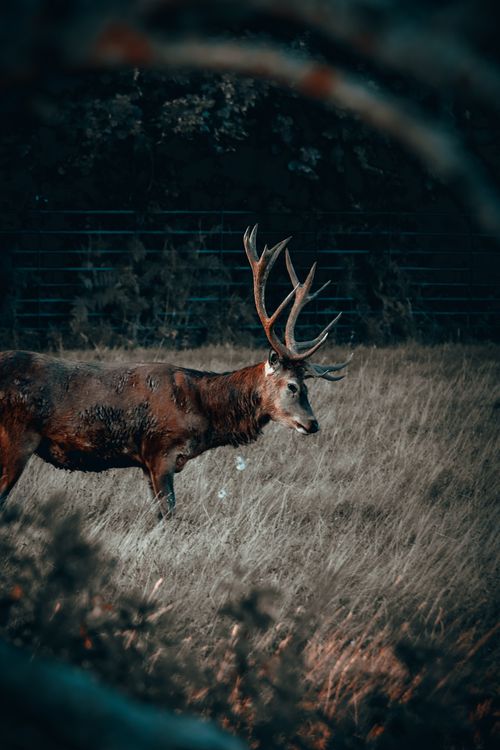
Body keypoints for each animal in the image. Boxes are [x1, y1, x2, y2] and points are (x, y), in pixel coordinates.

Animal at [0, 225, 350, 518]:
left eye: (308, 386)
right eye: (292, 386)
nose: (313, 424)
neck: (201, 408)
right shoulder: (159, 450)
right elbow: (168, 512)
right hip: (16, 437)